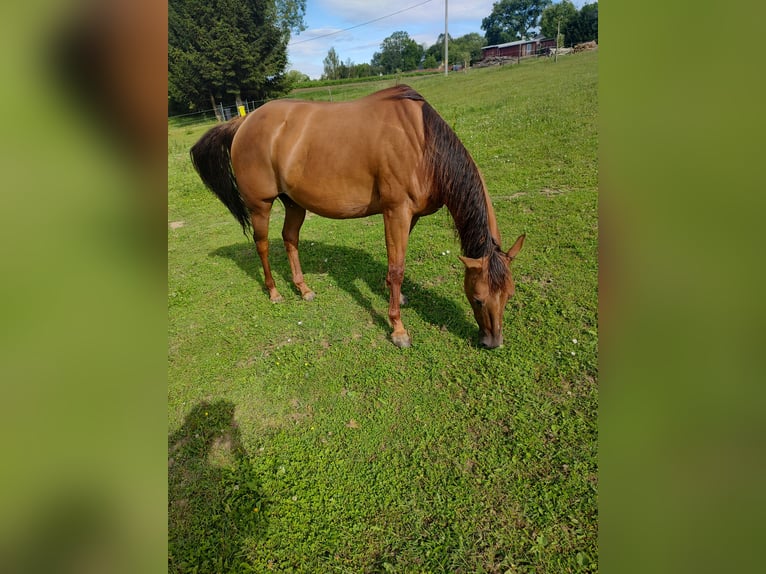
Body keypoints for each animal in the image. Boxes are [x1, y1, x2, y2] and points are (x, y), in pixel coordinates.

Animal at [194, 83, 528, 348]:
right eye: (478, 298)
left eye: (510, 296)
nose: (493, 342)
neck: (423, 144)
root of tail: (244, 122)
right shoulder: (396, 211)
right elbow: (397, 268)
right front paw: (398, 329)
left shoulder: (410, 216)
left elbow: (396, 263)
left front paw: (396, 297)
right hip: (261, 205)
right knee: (262, 245)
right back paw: (275, 292)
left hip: (294, 203)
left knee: (289, 239)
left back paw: (303, 289)